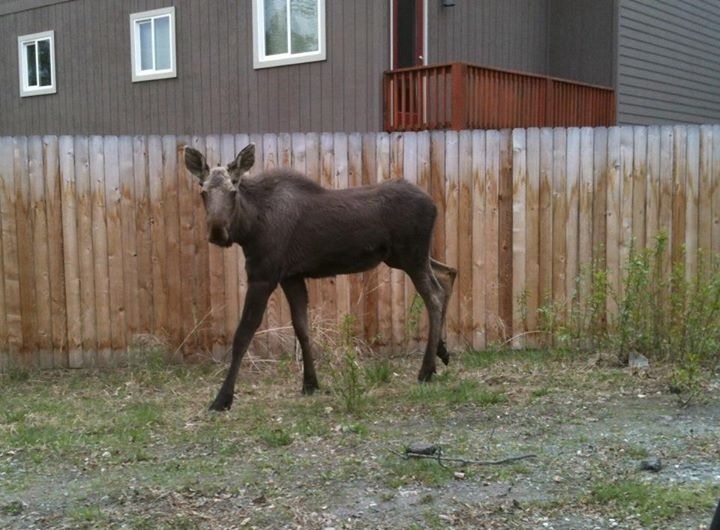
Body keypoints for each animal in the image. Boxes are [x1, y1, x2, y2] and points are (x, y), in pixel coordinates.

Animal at [184, 143, 456, 411]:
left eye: (233, 190)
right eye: (203, 192)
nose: (217, 231)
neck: (250, 228)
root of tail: (434, 205)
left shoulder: (263, 275)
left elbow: (243, 333)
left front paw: (222, 398)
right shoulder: (291, 276)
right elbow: (302, 328)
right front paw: (310, 383)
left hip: (411, 256)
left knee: (434, 295)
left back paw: (426, 369)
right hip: (407, 257)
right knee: (447, 273)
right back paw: (442, 352)